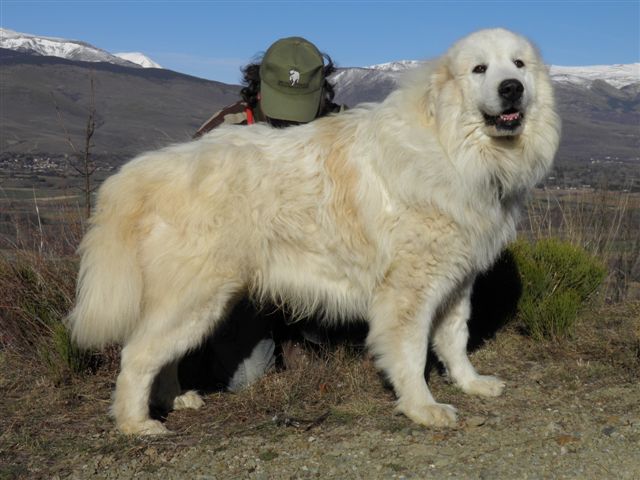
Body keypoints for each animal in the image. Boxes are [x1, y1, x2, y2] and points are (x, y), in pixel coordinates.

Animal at [69, 29, 560, 436]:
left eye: (518, 64)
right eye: (479, 69)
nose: (511, 88)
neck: (450, 145)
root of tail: (144, 170)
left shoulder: (456, 281)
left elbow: (454, 341)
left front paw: (470, 383)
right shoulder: (408, 292)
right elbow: (412, 353)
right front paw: (422, 407)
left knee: (161, 355)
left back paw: (176, 400)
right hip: (194, 298)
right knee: (137, 356)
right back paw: (137, 423)